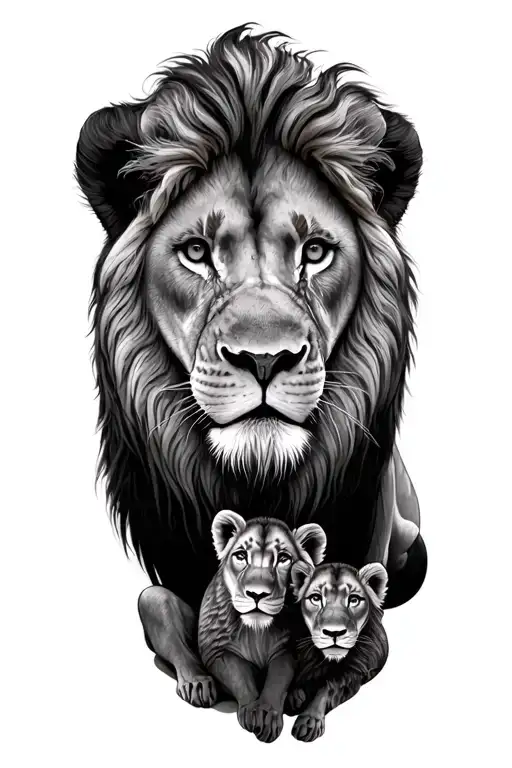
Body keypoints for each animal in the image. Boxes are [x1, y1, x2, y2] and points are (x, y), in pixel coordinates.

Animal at [194, 510, 326, 742]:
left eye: (283, 558)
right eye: (241, 555)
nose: (257, 594)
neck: (255, 630)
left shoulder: (287, 649)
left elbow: (277, 679)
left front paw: (266, 715)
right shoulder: (217, 650)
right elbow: (240, 676)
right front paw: (251, 711)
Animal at [285, 561, 389, 741]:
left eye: (354, 599)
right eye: (316, 598)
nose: (334, 632)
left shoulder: (353, 672)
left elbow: (327, 688)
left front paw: (309, 721)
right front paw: (294, 697)